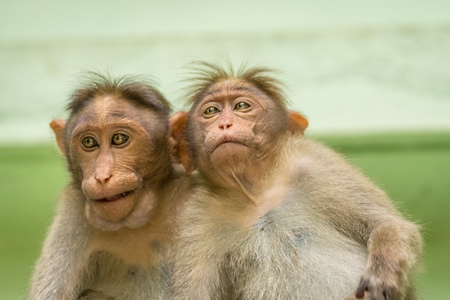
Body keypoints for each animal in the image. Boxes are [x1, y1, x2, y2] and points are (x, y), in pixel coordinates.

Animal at [172, 62, 422, 298]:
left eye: (241, 106)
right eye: (211, 111)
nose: (224, 124)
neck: (257, 193)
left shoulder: (317, 164)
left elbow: (390, 225)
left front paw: (382, 275)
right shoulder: (198, 215)